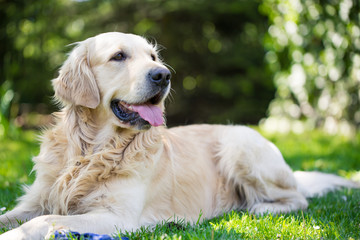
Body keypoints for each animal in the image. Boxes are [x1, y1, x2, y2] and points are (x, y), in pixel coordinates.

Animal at [0, 32, 358, 240]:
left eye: (153, 57)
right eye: (119, 56)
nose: (163, 75)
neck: (92, 150)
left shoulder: (116, 217)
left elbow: (43, 221)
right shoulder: (35, 200)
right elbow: (14, 215)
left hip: (240, 146)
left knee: (298, 198)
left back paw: (256, 208)